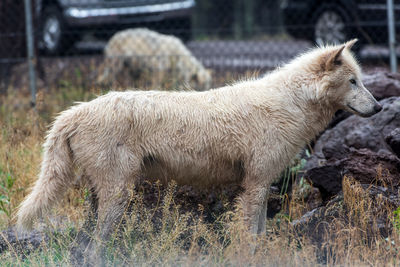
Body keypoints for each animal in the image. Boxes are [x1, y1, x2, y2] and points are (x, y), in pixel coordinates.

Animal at [18, 39, 382, 258]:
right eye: (353, 81)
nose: (378, 107)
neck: (289, 103)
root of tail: (71, 113)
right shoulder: (256, 184)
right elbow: (252, 233)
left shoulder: (260, 183)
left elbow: (261, 231)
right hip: (118, 196)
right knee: (95, 248)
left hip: (104, 198)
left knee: (84, 247)